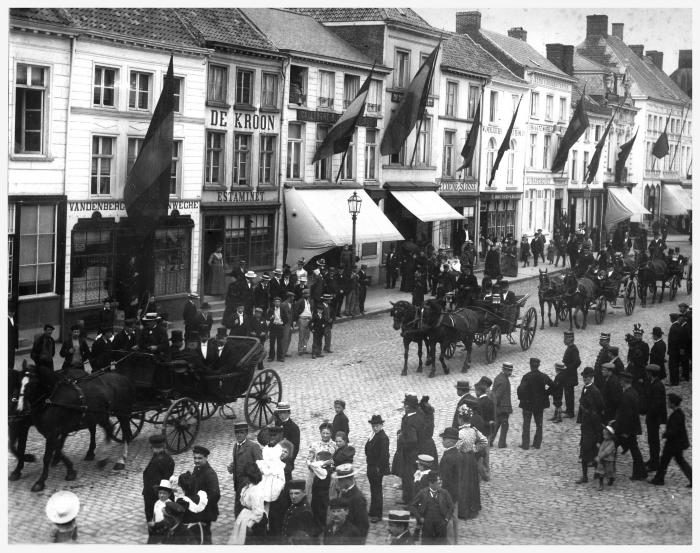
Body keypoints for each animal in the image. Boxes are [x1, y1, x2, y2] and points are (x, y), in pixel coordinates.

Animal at [11, 362, 135, 492]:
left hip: (122, 413)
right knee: (109, 429)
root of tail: (123, 378)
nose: (20, 409)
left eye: (33, 383)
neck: (51, 400)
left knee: (126, 434)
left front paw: (40, 482)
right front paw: (70, 470)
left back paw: (121, 461)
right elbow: (58, 449)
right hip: (100, 416)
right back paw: (102, 458)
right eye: (19, 382)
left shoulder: (51, 433)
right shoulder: (51, 432)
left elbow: (47, 457)